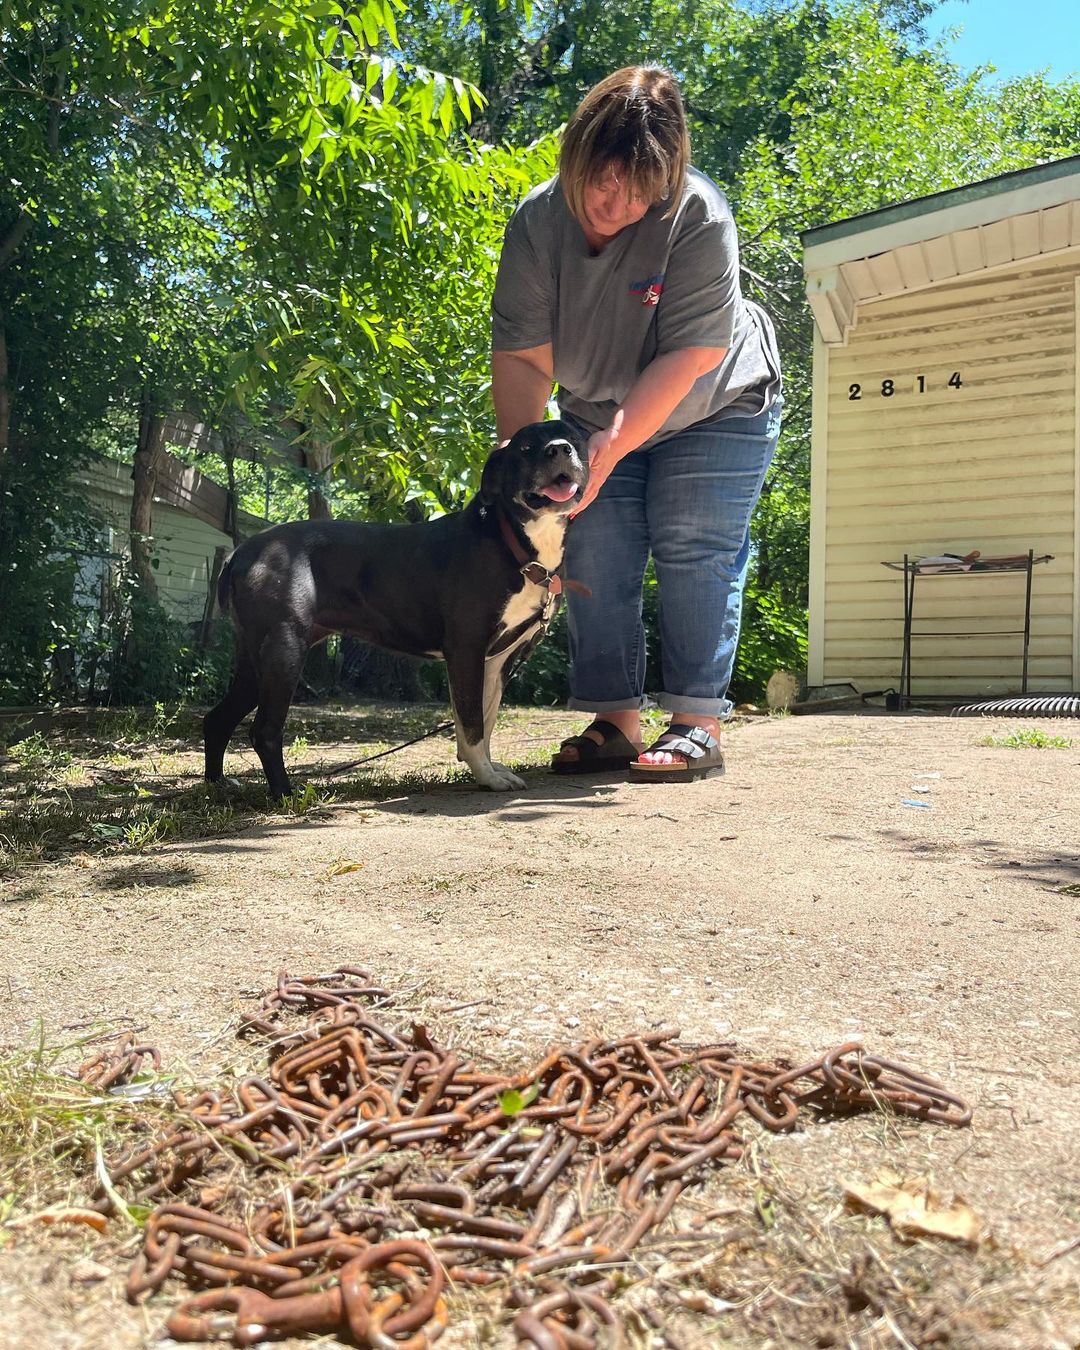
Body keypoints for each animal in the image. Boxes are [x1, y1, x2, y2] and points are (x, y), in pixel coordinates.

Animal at [202, 421, 591, 793]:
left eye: (574, 437)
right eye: (525, 448)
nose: (560, 449)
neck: (514, 541)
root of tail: (243, 552)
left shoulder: (497, 661)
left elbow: (485, 718)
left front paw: (489, 768)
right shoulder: (466, 650)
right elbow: (471, 724)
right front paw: (487, 777)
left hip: (255, 659)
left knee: (217, 719)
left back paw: (217, 783)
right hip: (284, 650)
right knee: (265, 730)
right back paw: (285, 793)